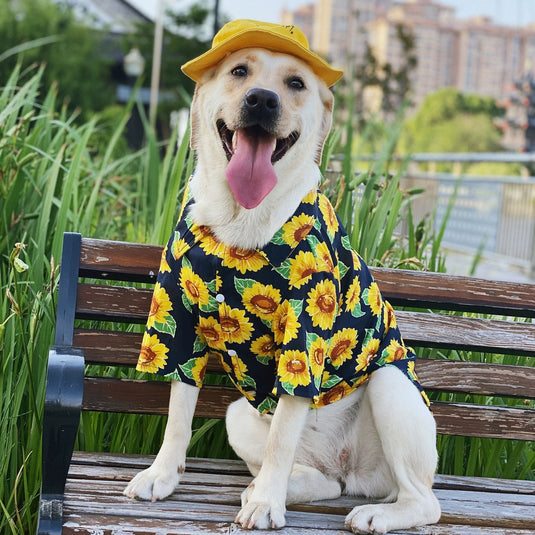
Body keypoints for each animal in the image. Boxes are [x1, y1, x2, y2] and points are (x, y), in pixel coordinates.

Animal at [123, 18, 442, 532]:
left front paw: (266, 504)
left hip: (391, 386)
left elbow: (281, 437)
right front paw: (162, 474)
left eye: (296, 83)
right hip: (239, 416)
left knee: (423, 500)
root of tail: (347, 466)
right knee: (325, 482)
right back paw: (281, 485)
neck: (241, 220)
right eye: (238, 71)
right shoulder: (177, 319)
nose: (261, 100)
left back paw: (367, 511)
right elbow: (178, 413)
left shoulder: (304, 333)